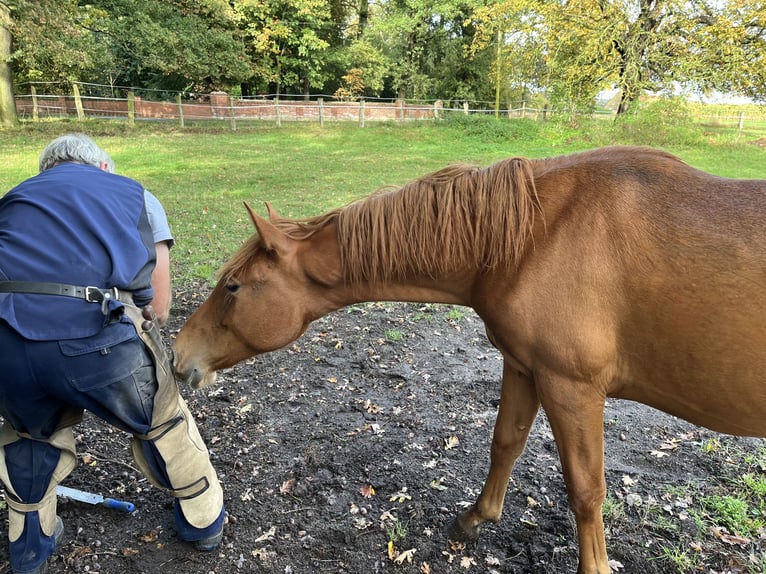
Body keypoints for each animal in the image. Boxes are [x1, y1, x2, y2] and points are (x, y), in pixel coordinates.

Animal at [172, 147, 766, 574]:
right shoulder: (525, 368)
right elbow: (505, 443)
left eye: (233, 286)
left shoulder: (571, 387)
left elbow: (586, 490)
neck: (536, 236)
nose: (177, 355)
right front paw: (475, 520)